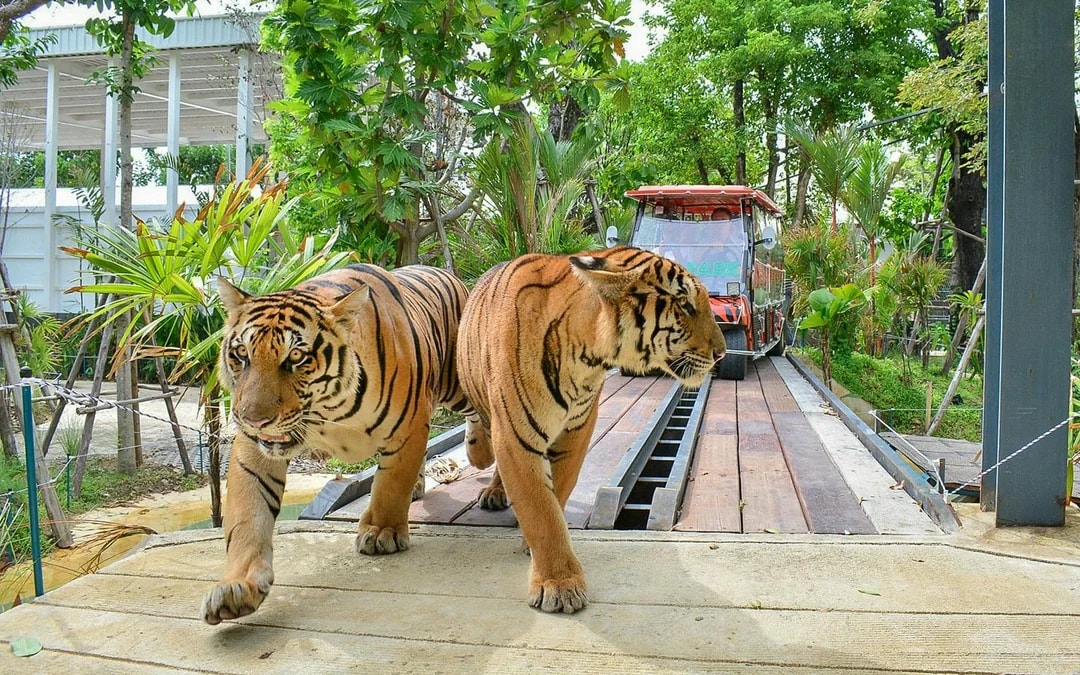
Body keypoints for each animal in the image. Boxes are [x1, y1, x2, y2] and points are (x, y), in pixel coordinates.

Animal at [201, 263, 474, 625]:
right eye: (242, 353)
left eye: (296, 357)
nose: (253, 419)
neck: (327, 412)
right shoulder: (253, 449)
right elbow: (248, 516)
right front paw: (236, 587)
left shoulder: (409, 425)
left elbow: (390, 485)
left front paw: (382, 532)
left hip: (461, 385)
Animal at [456, 246, 726, 614]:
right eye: (684, 305)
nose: (722, 353)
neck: (587, 357)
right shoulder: (515, 434)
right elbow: (540, 508)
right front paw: (559, 584)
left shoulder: (577, 430)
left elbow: (557, 493)